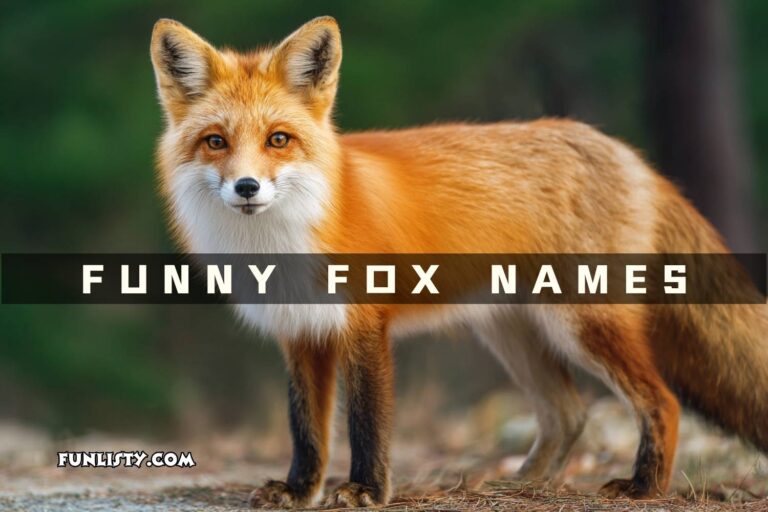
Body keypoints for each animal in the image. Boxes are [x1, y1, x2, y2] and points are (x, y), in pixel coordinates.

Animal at [150, 16, 768, 508]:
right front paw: (301, 490)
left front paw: (366, 490)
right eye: (215, 141)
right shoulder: (301, 332)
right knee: (568, 413)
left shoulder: (364, 323)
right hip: (515, 333)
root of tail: (629, 155)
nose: (247, 187)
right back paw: (523, 486)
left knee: (661, 400)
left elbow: (366, 421)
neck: (281, 240)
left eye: (278, 139)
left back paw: (643, 487)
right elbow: (307, 429)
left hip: (583, 324)